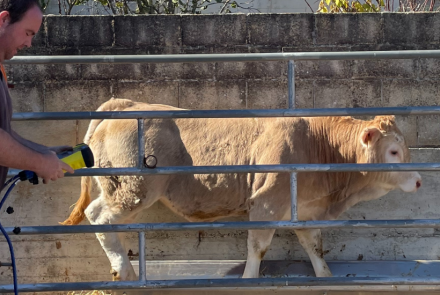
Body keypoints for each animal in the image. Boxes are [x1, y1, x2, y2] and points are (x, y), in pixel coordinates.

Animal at [61, 99, 420, 286]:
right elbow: (258, 247)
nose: (418, 180)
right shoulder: (267, 202)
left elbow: (315, 246)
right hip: (132, 188)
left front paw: (325, 277)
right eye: (393, 151)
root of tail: (127, 103)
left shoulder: (305, 209)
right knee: (99, 216)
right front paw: (249, 279)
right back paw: (125, 271)